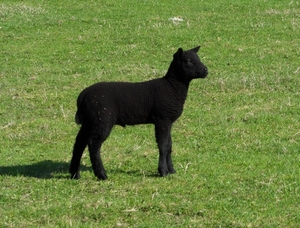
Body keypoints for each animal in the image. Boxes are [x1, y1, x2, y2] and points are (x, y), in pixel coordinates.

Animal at [69, 45, 209, 180]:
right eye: (189, 61)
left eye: (198, 58)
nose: (206, 70)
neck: (171, 87)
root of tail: (83, 95)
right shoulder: (162, 119)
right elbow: (163, 145)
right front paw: (163, 172)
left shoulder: (168, 121)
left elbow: (169, 145)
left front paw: (171, 170)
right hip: (102, 119)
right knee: (93, 144)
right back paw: (101, 175)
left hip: (90, 120)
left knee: (79, 142)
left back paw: (75, 174)